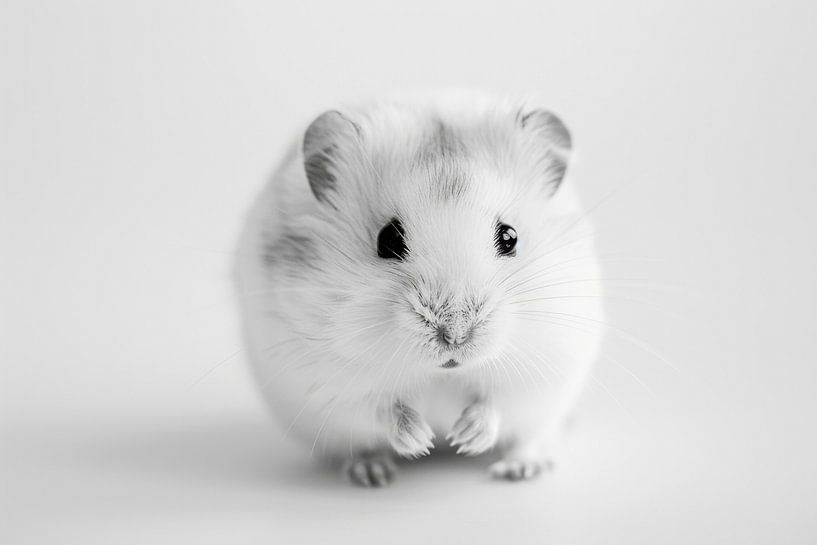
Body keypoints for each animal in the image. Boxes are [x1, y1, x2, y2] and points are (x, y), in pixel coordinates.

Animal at [234, 93, 603, 487]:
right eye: (387, 239)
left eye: (509, 237)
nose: (455, 337)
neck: (441, 374)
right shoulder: (328, 383)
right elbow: (379, 408)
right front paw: (422, 441)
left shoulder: (544, 369)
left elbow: (496, 403)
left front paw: (463, 437)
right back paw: (372, 473)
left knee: (527, 441)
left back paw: (519, 469)